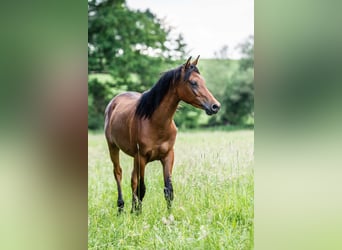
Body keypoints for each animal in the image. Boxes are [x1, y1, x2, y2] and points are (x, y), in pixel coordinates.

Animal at [104, 56, 220, 213]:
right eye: (193, 82)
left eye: (203, 82)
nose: (215, 106)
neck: (155, 122)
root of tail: (113, 102)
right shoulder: (141, 158)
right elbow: (142, 189)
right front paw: (139, 215)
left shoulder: (168, 156)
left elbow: (168, 190)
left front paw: (169, 215)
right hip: (113, 147)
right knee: (118, 173)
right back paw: (121, 208)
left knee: (132, 179)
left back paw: (132, 209)